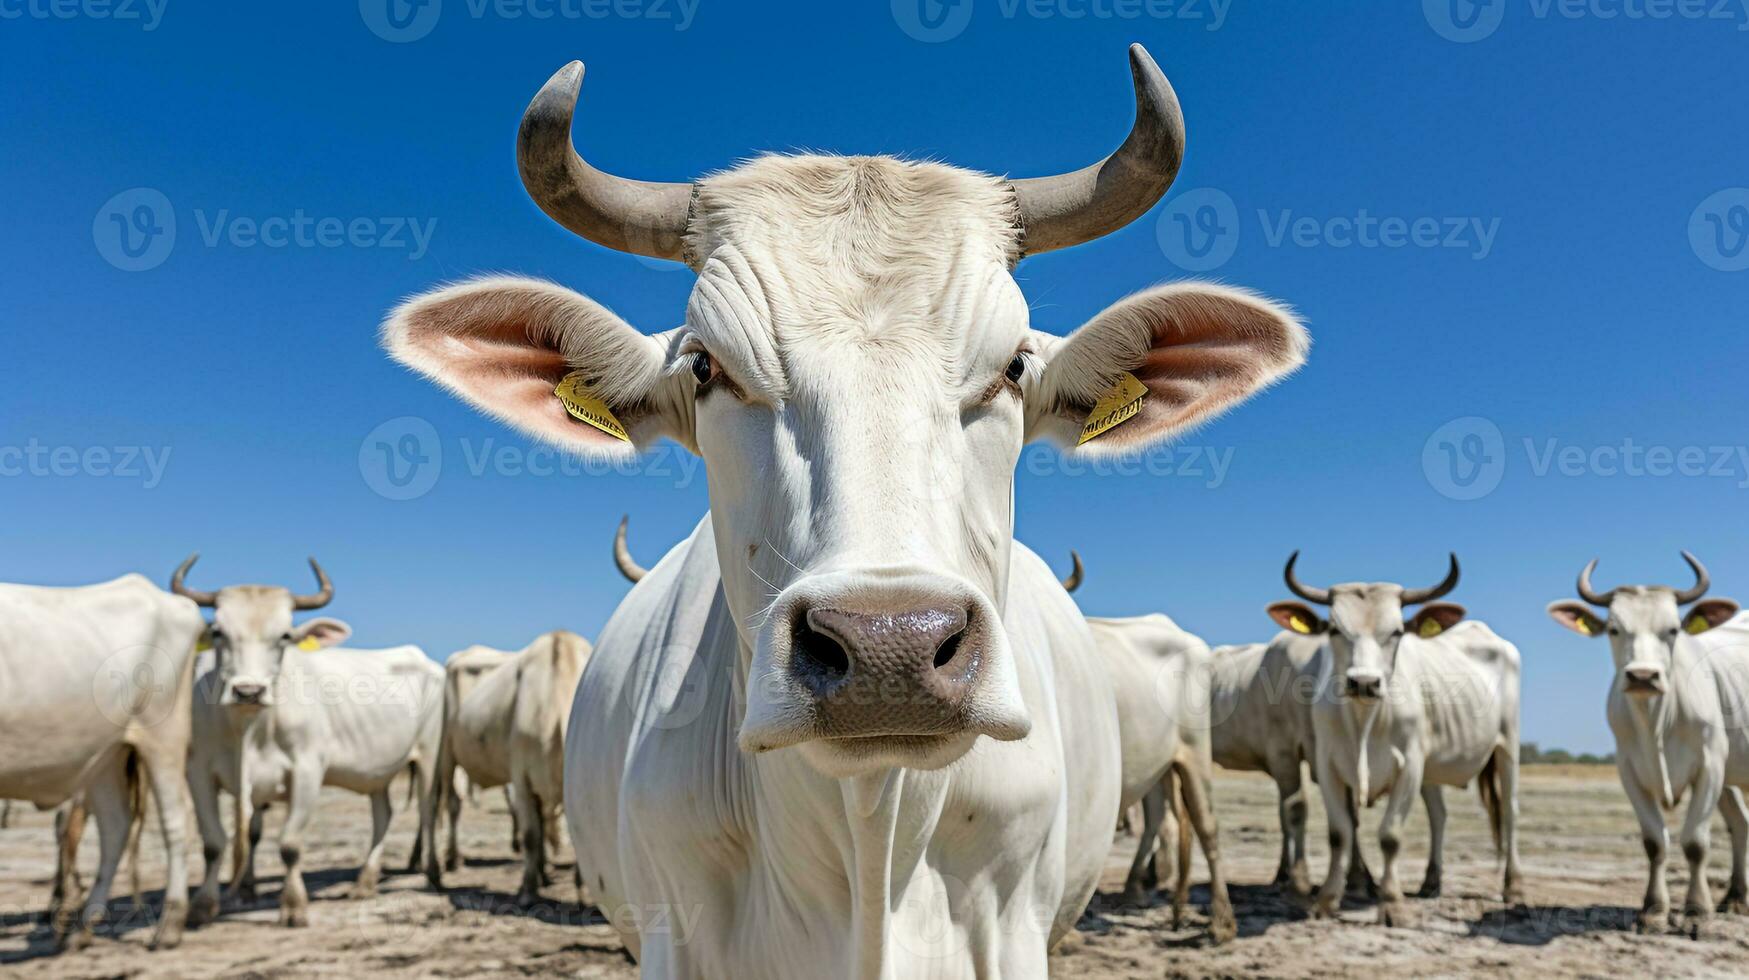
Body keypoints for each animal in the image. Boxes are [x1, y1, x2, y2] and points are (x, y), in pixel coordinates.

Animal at [0, 574, 202, 952]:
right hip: (105, 755)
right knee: (115, 825)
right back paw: (81, 928)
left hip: (162, 735)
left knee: (175, 820)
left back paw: (169, 926)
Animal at [174, 556, 444, 931]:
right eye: (217, 632)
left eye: (285, 635)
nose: (248, 691)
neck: (249, 728)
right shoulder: (199, 772)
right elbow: (216, 843)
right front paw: (204, 905)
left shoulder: (306, 771)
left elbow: (290, 844)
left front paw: (294, 906)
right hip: (378, 771)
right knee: (383, 815)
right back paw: (365, 882)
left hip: (430, 755)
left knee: (428, 810)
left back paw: (432, 875)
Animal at [426, 626, 591, 903]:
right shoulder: (521, 775)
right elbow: (531, 834)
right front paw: (527, 889)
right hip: (443, 753)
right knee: (439, 804)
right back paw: (436, 870)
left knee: (454, 804)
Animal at [1273, 556, 1518, 924]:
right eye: (1334, 630)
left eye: (1397, 631)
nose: (1364, 682)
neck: (1364, 719)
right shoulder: (1327, 766)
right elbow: (1339, 834)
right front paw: (1327, 900)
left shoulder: (1410, 766)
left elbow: (1390, 836)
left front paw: (1391, 904)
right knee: (1438, 815)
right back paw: (1431, 882)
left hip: (1508, 744)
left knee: (1510, 811)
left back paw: (1514, 887)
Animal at [1546, 553, 1749, 931]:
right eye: (1614, 629)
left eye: (1673, 630)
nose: (1643, 676)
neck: (1655, 721)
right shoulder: (1629, 770)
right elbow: (1655, 842)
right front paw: (1654, 910)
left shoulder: (1710, 766)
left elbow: (1695, 842)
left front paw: (1696, 910)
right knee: (1740, 824)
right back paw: (1736, 898)